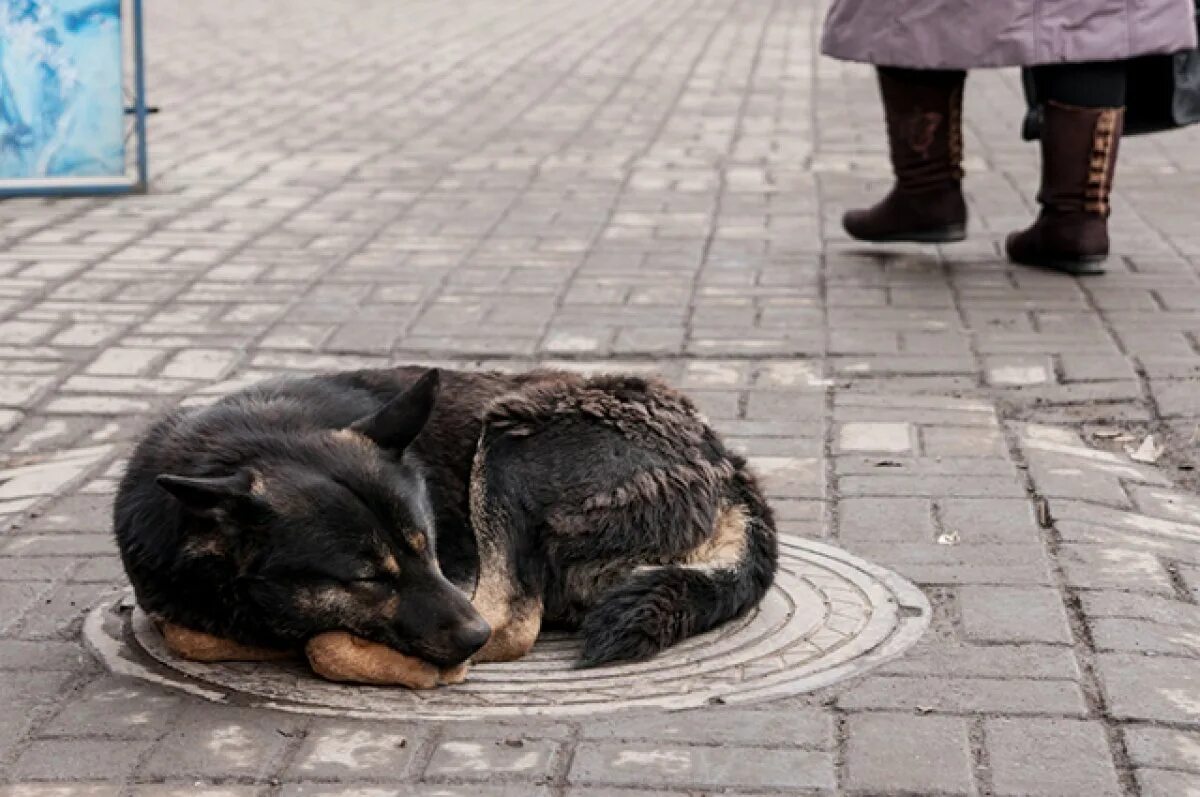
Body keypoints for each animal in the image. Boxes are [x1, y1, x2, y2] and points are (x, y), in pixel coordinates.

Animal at [114, 364, 777, 686]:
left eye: (426, 545)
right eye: (366, 578)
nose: (468, 641)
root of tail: (728, 466)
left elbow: (323, 644)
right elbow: (186, 633)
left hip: (511, 438)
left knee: (512, 624)